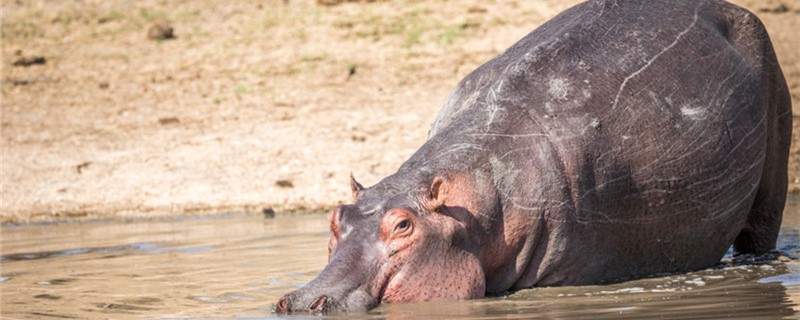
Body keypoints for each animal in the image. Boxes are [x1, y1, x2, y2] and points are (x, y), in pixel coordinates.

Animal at [278, 0, 792, 314]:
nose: (303, 301)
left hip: (773, 170)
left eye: (403, 225)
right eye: (335, 216)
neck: (474, 211)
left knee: (760, 233)